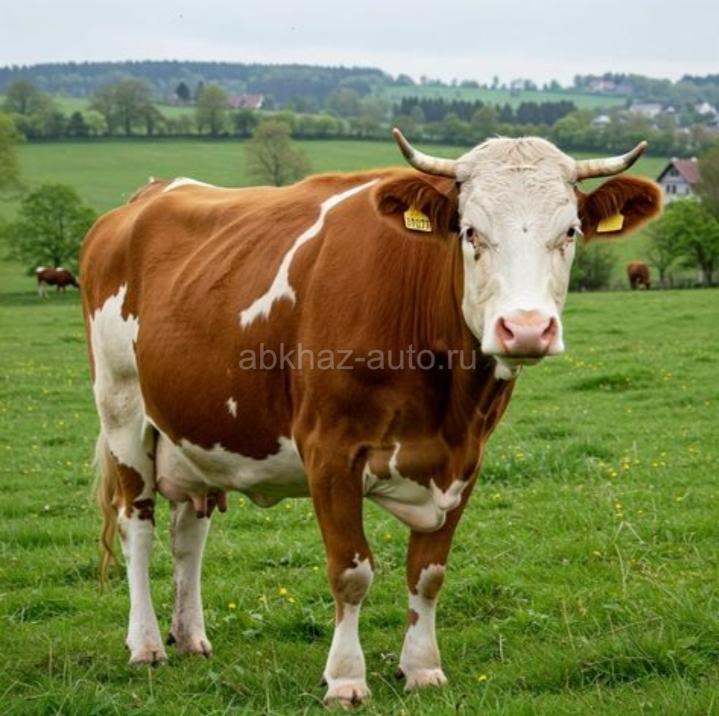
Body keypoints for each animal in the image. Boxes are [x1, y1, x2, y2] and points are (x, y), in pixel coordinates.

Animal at [80, 131, 661, 706]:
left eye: (570, 231)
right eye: (470, 231)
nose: (525, 329)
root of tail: (150, 193)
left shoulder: (465, 461)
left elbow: (428, 574)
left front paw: (422, 667)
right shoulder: (330, 452)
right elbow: (351, 571)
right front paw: (344, 679)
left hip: (192, 435)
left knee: (188, 536)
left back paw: (191, 636)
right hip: (122, 411)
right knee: (137, 527)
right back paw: (147, 644)